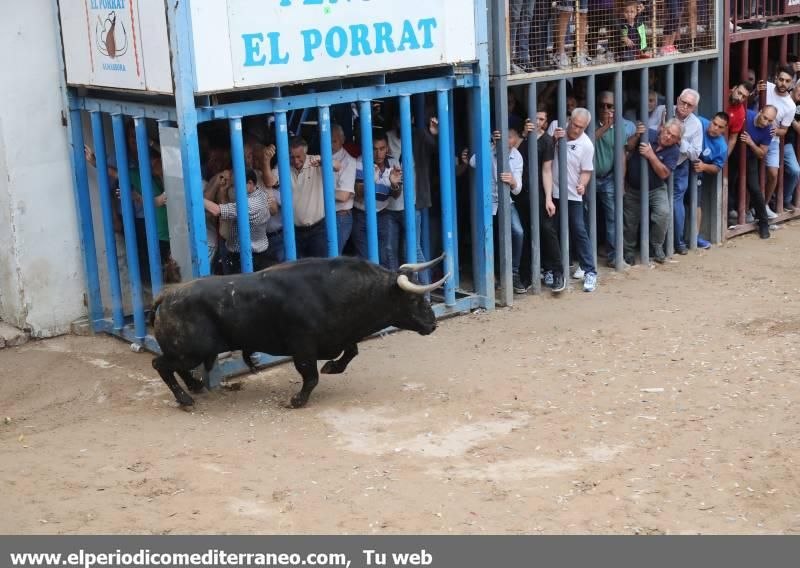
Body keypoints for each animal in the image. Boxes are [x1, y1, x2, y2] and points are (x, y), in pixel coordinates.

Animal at [151, 255, 450, 406]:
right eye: (413, 299)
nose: (433, 324)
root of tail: (166, 295)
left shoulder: (339, 336)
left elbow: (350, 352)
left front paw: (332, 367)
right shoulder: (302, 347)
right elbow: (311, 376)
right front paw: (297, 400)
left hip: (191, 351)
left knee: (176, 367)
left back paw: (195, 386)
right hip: (191, 350)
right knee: (161, 365)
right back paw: (185, 398)